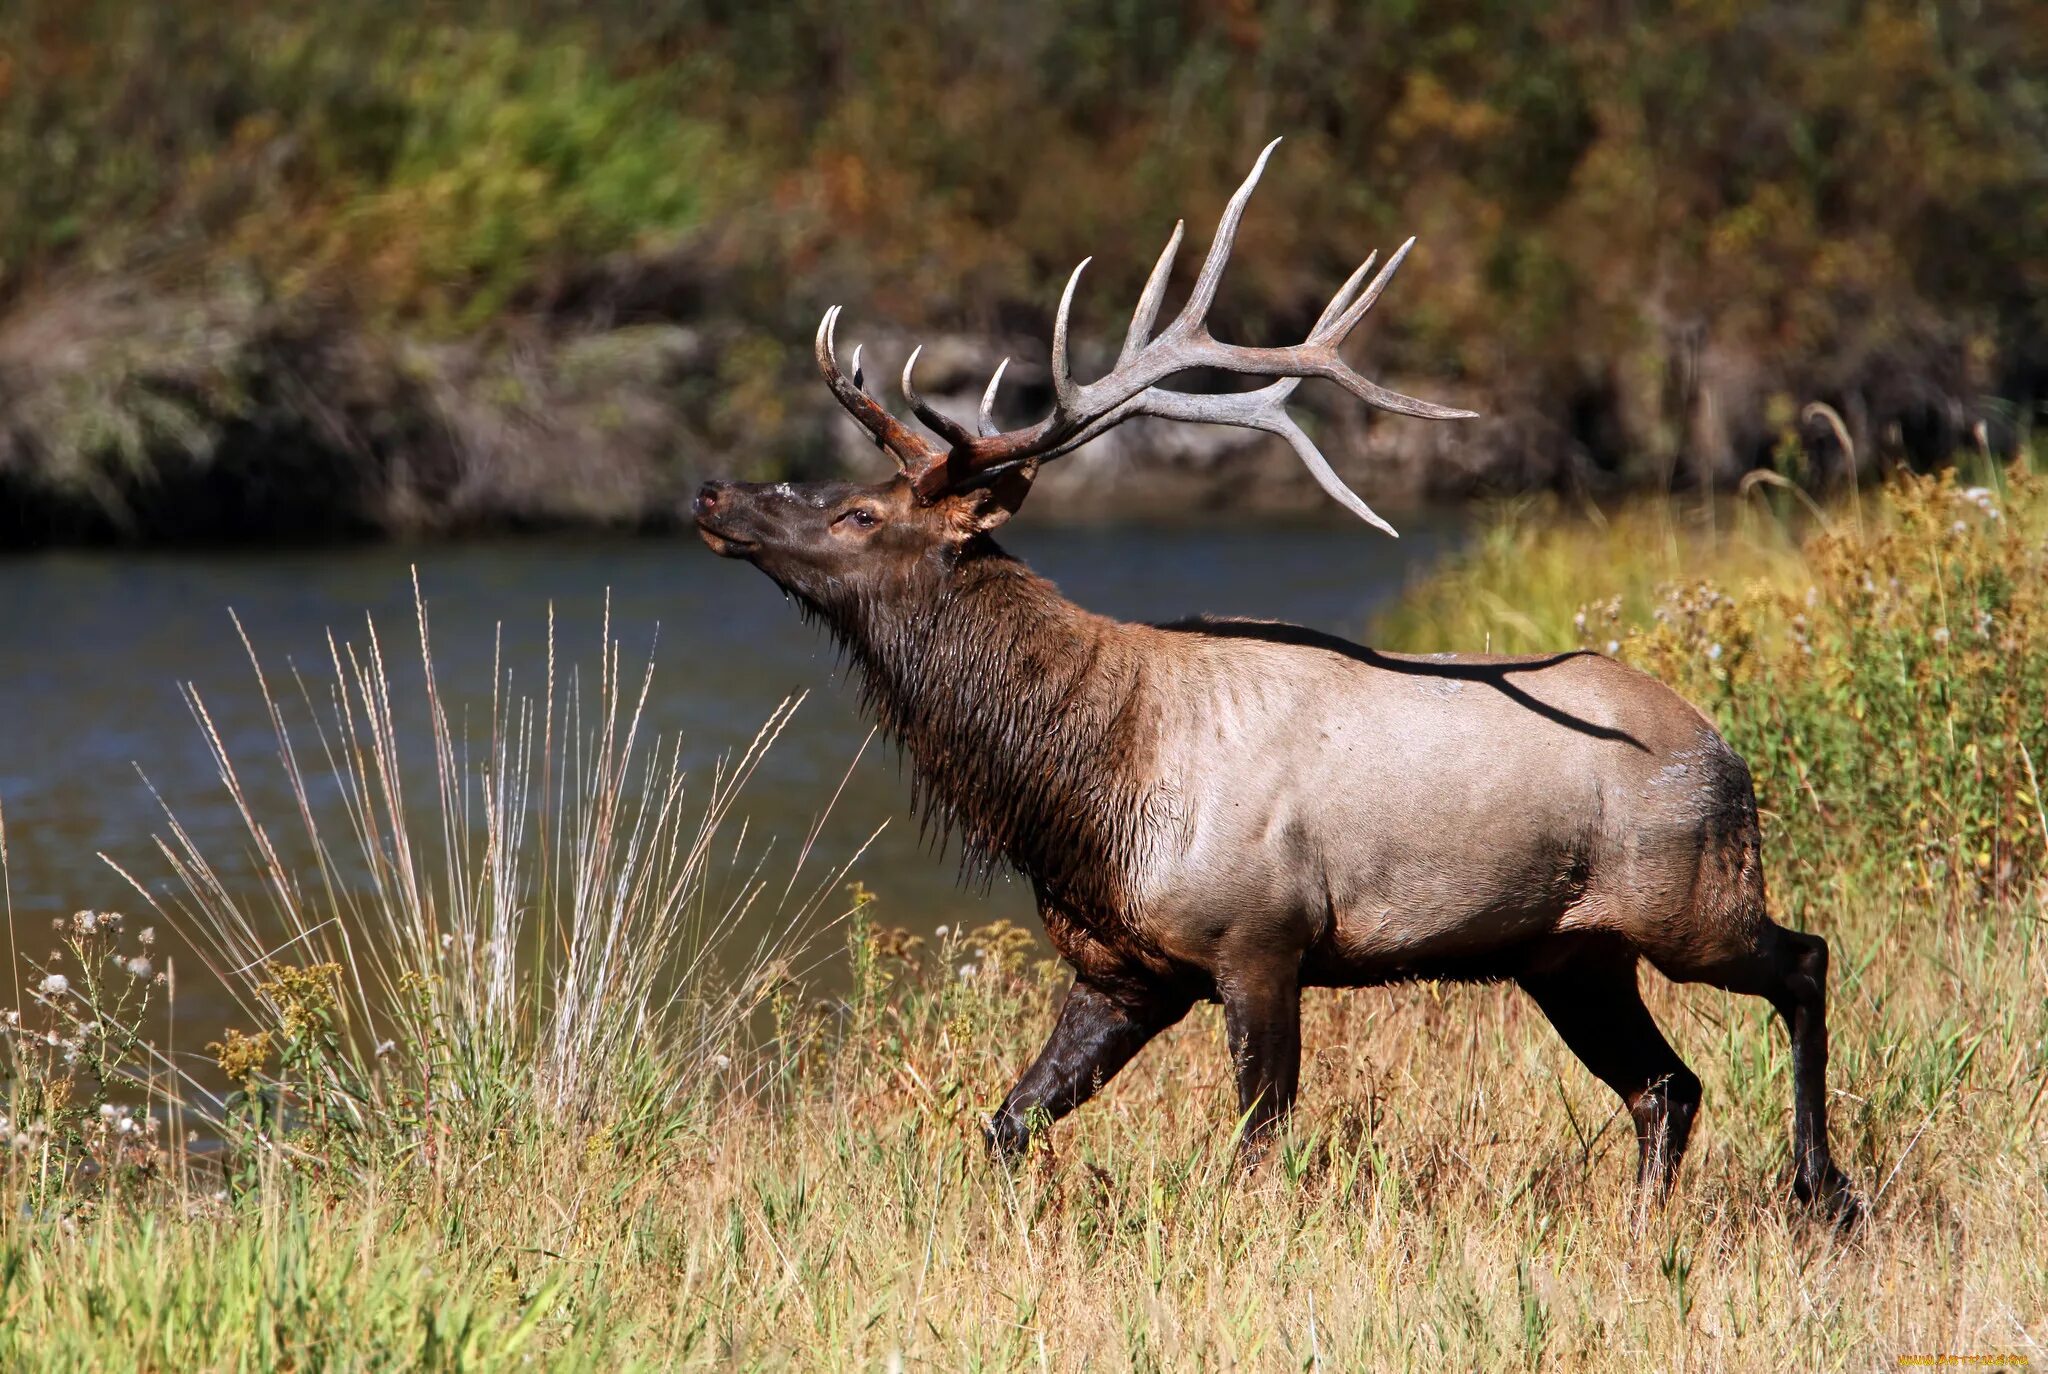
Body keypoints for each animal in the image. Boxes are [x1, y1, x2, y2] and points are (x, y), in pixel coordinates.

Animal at [696, 137, 1867, 1212]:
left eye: (857, 513)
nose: (712, 493)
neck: (1084, 790)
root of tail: (1723, 747)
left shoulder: (1259, 938)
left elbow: (1257, 1154)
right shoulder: (1122, 967)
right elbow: (1006, 1124)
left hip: (1690, 895)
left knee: (1803, 962)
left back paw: (1822, 1186)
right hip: (1569, 953)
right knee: (1667, 1086)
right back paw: (1648, 1226)